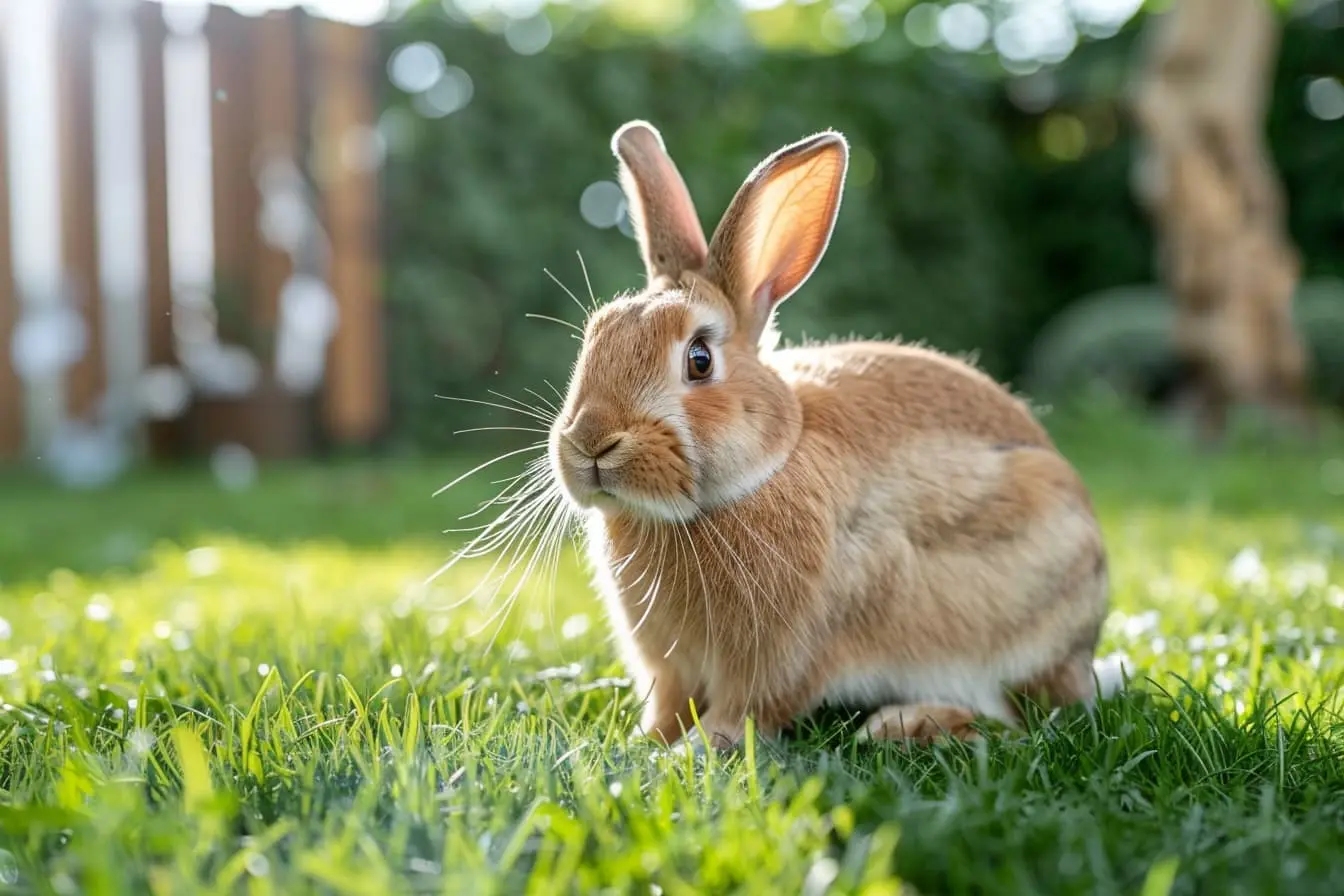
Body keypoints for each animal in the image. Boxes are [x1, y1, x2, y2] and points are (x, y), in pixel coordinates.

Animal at [545, 118, 1112, 752]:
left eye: (699, 359)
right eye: (595, 336)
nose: (591, 440)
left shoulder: (778, 657)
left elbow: (746, 710)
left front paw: (692, 750)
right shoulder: (670, 667)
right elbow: (669, 705)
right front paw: (647, 742)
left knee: (1021, 717)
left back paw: (906, 723)